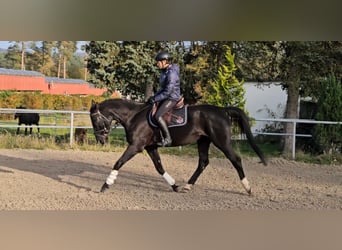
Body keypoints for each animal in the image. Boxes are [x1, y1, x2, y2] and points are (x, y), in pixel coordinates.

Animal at [90, 98, 268, 194]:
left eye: (95, 119)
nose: (100, 140)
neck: (133, 116)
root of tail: (222, 110)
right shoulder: (150, 147)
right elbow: (159, 167)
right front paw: (174, 186)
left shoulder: (136, 146)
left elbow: (118, 163)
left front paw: (105, 185)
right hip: (203, 141)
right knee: (203, 162)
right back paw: (187, 186)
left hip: (222, 142)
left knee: (235, 159)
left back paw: (248, 188)